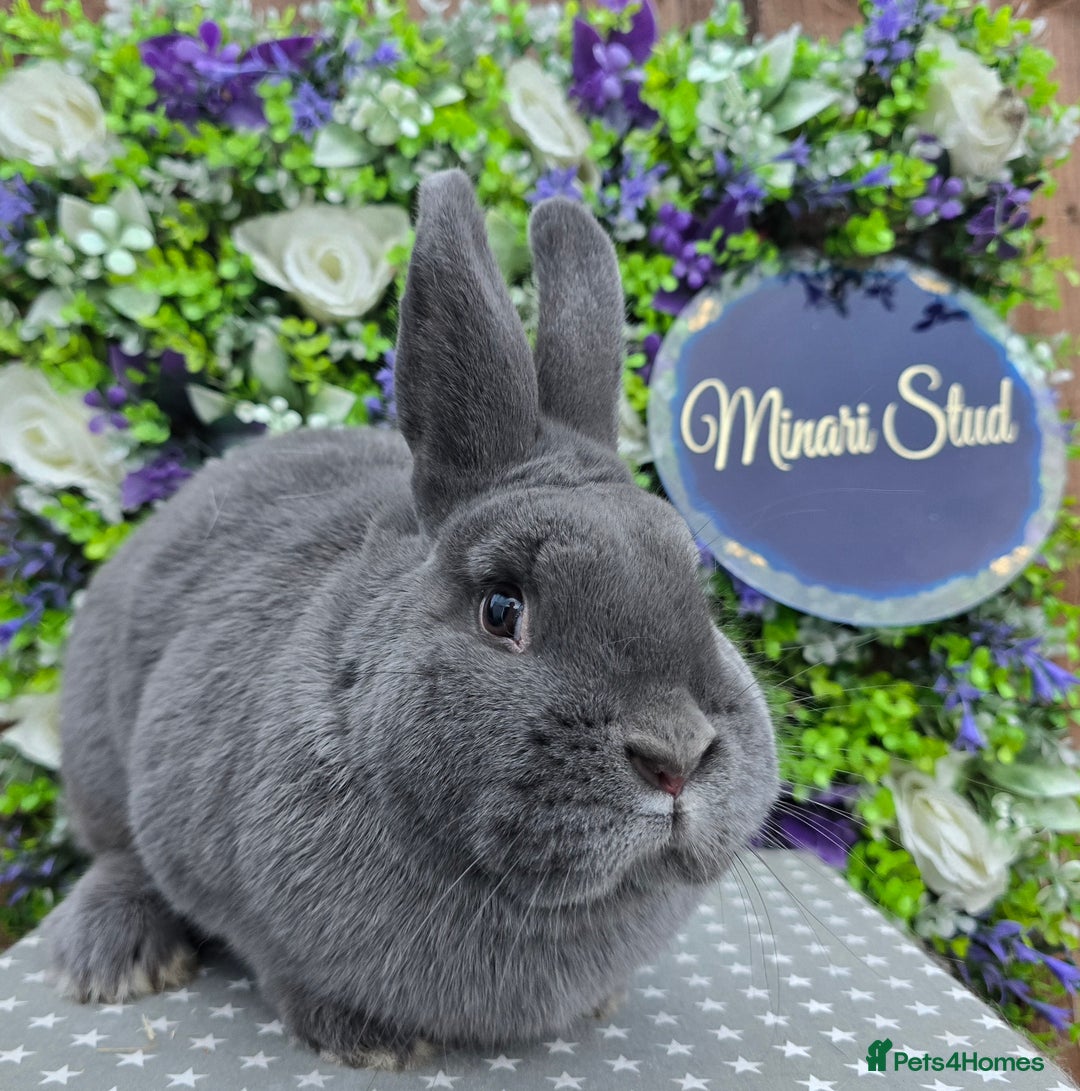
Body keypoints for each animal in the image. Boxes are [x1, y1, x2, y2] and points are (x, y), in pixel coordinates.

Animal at [49, 170, 779, 1068]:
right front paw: (372, 1043)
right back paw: (113, 959)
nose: (675, 757)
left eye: (698, 592)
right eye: (502, 607)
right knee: (118, 853)